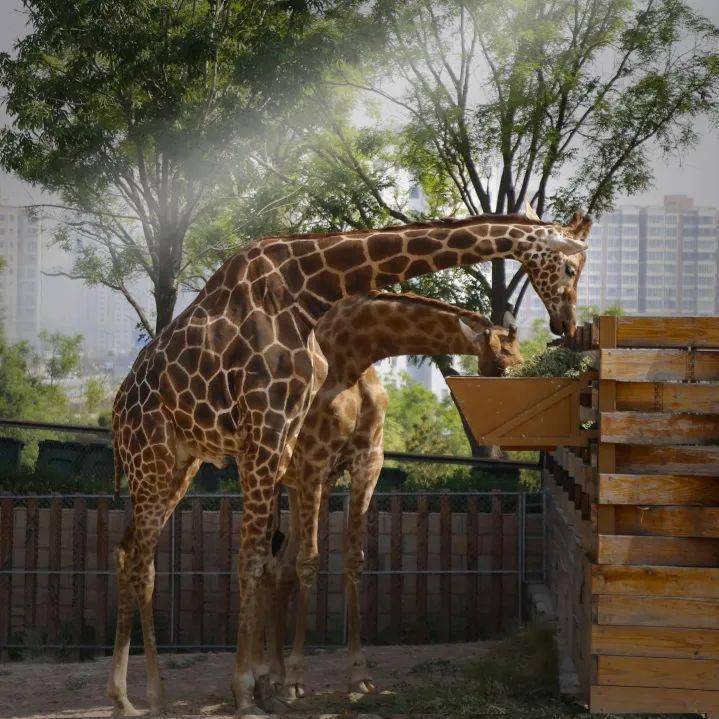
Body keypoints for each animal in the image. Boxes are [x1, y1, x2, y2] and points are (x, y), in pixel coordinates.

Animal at [264, 290, 524, 700]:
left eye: (520, 360)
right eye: (500, 364)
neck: (352, 357)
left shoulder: (367, 463)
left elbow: (353, 558)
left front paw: (358, 674)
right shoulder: (314, 462)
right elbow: (310, 562)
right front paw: (296, 678)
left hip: (309, 484)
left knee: (281, 565)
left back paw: (273, 673)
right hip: (281, 475)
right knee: (275, 564)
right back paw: (274, 675)